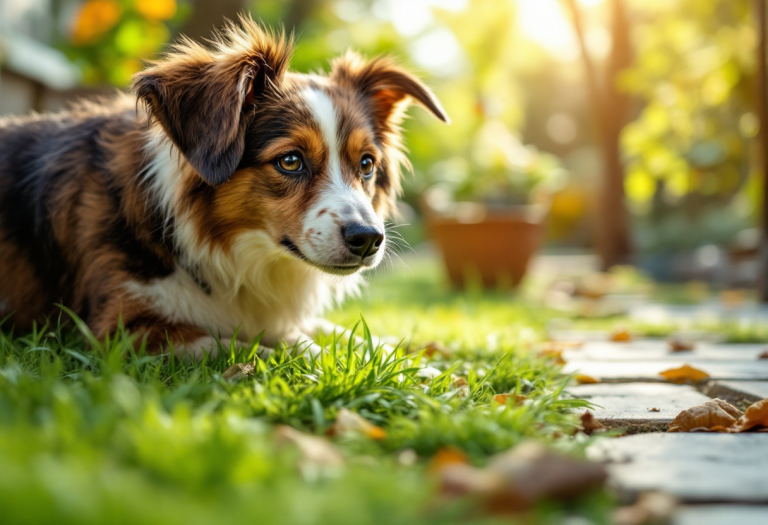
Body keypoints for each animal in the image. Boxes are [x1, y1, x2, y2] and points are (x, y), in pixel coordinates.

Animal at [0, 17, 448, 360]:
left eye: (367, 164)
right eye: (290, 161)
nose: (368, 239)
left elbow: (339, 333)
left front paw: (412, 363)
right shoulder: (120, 331)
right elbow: (259, 348)